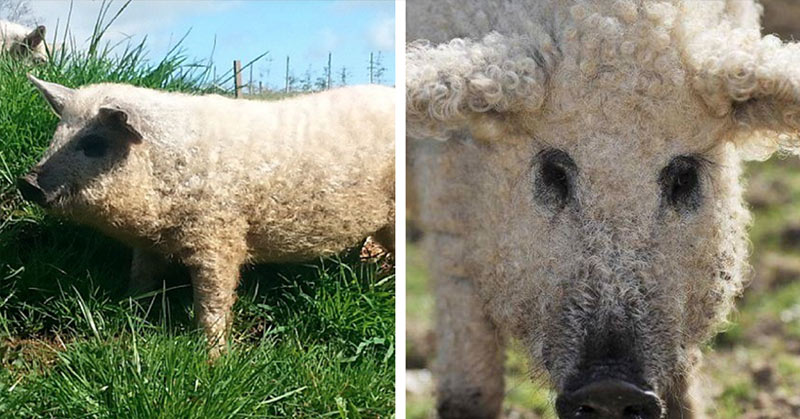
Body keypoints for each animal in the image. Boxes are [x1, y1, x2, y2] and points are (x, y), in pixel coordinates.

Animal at [18, 76, 395, 357]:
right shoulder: (149, 244)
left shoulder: (220, 233)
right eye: (56, 136)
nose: (27, 182)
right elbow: (141, 275)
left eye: (94, 144)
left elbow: (213, 298)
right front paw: (131, 309)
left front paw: (213, 358)